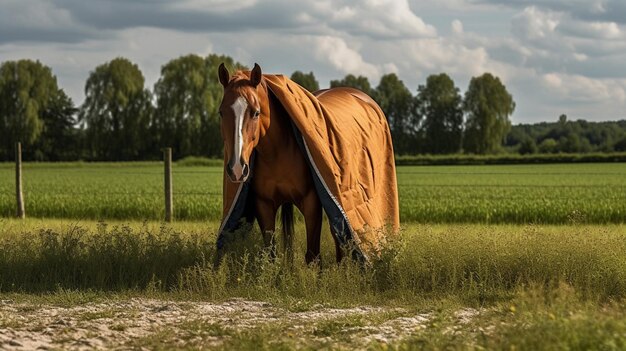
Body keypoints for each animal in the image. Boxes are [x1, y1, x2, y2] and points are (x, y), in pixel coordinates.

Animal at [216, 63, 342, 264]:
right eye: (221, 112)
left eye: (256, 112)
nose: (236, 169)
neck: (278, 153)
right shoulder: (264, 205)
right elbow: (271, 254)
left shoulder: (312, 202)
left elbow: (313, 255)